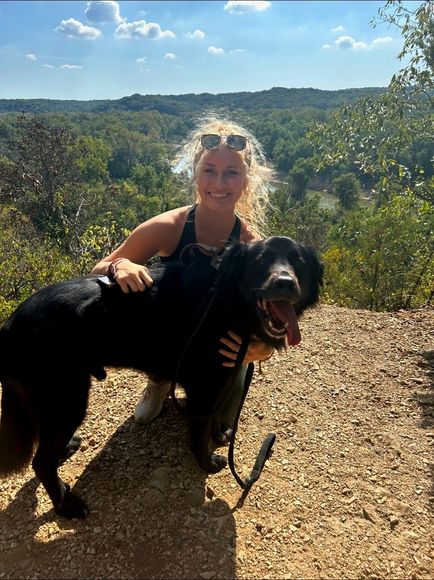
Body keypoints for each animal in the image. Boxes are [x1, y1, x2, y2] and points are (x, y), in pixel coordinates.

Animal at [0, 236, 323, 518]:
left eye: (299, 263)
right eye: (260, 261)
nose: (285, 283)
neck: (225, 300)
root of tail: (9, 324)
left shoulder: (224, 375)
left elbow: (215, 418)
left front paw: (219, 436)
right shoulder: (204, 386)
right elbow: (199, 431)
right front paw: (207, 462)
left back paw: (66, 450)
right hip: (66, 397)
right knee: (41, 462)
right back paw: (67, 506)